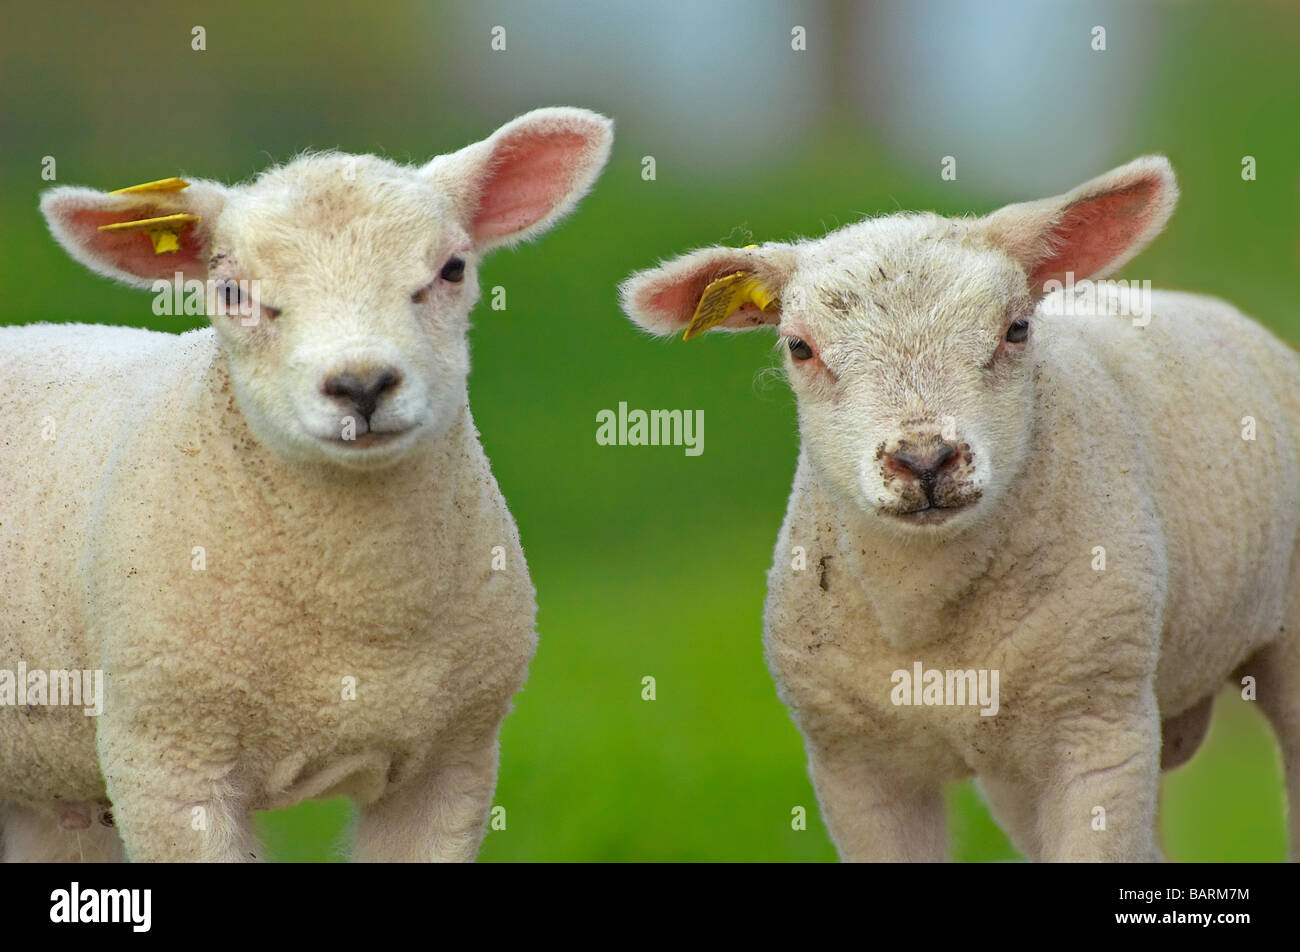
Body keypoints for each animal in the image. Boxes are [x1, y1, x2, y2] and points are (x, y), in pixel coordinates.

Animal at [0, 106, 613, 862]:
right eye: (232, 292)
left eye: (452, 268)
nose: (361, 384)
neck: (358, 616)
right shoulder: (167, 757)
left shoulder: (453, 762)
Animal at [620, 156, 1300, 862]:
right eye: (799, 348)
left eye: (1017, 329)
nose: (924, 461)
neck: (928, 620)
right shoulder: (853, 763)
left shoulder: (1097, 726)